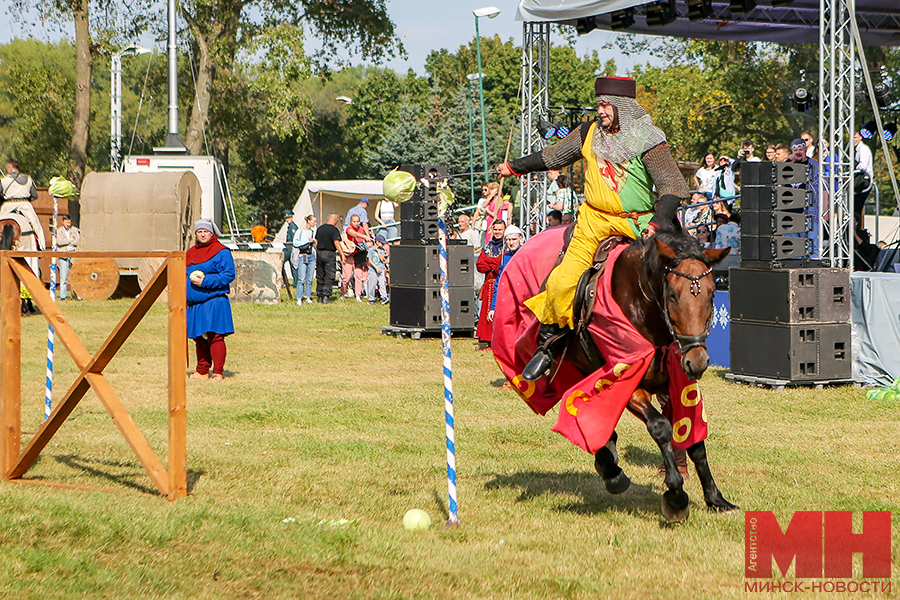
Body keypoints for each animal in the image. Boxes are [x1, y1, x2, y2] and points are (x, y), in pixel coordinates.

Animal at [492, 227, 740, 524]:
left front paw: (715, 498)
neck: (640, 305)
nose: (697, 361)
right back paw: (609, 467)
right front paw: (676, 496)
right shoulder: (626, 379)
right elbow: (661, 427)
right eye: (673, 295)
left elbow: (694, 441)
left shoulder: (676, 383)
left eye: (713, 293)